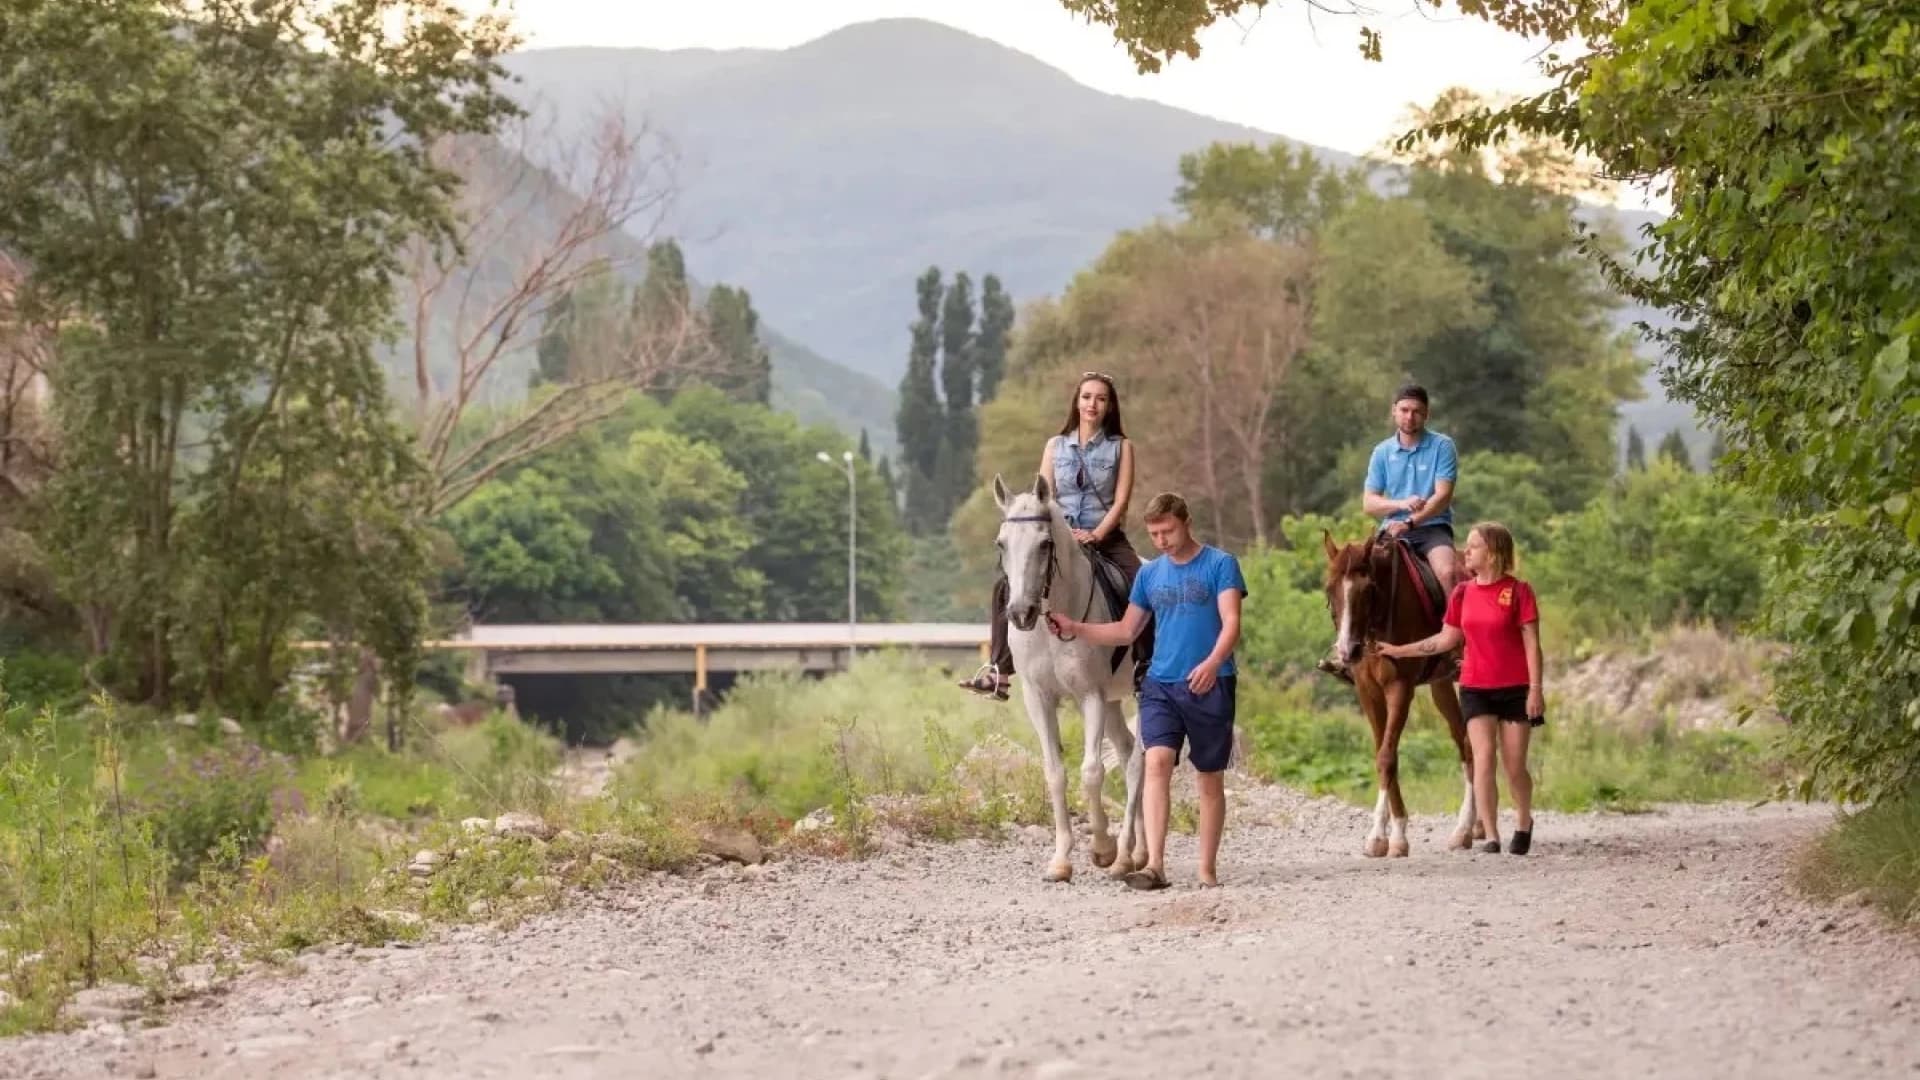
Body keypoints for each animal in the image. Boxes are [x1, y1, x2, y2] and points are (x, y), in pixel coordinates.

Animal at [990, 468, 1136, 876]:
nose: (1020, 613)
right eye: (1001, 544)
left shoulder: (1091, 696)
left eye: (1044, 544)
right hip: (1116, 702)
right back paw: (1133, 850)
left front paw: (1101, 847)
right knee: (1131, 753)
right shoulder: (1038, 698)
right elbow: (1055, 773)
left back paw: (1126, 851)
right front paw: (1061, 860)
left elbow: (1091, 772)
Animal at [1320, 526, 1482, 853]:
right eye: (1329, 589)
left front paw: (1380, 837)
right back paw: (1473, 828)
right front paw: (1394, 834)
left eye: (1368, 589)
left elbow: (1386, 757)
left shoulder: (1400, 689)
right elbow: (1383, 750)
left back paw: (1465, 828)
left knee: (1475, 746)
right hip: (1441, 686)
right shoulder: (1368, 692)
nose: (1347, 651)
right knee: (1465, 744)